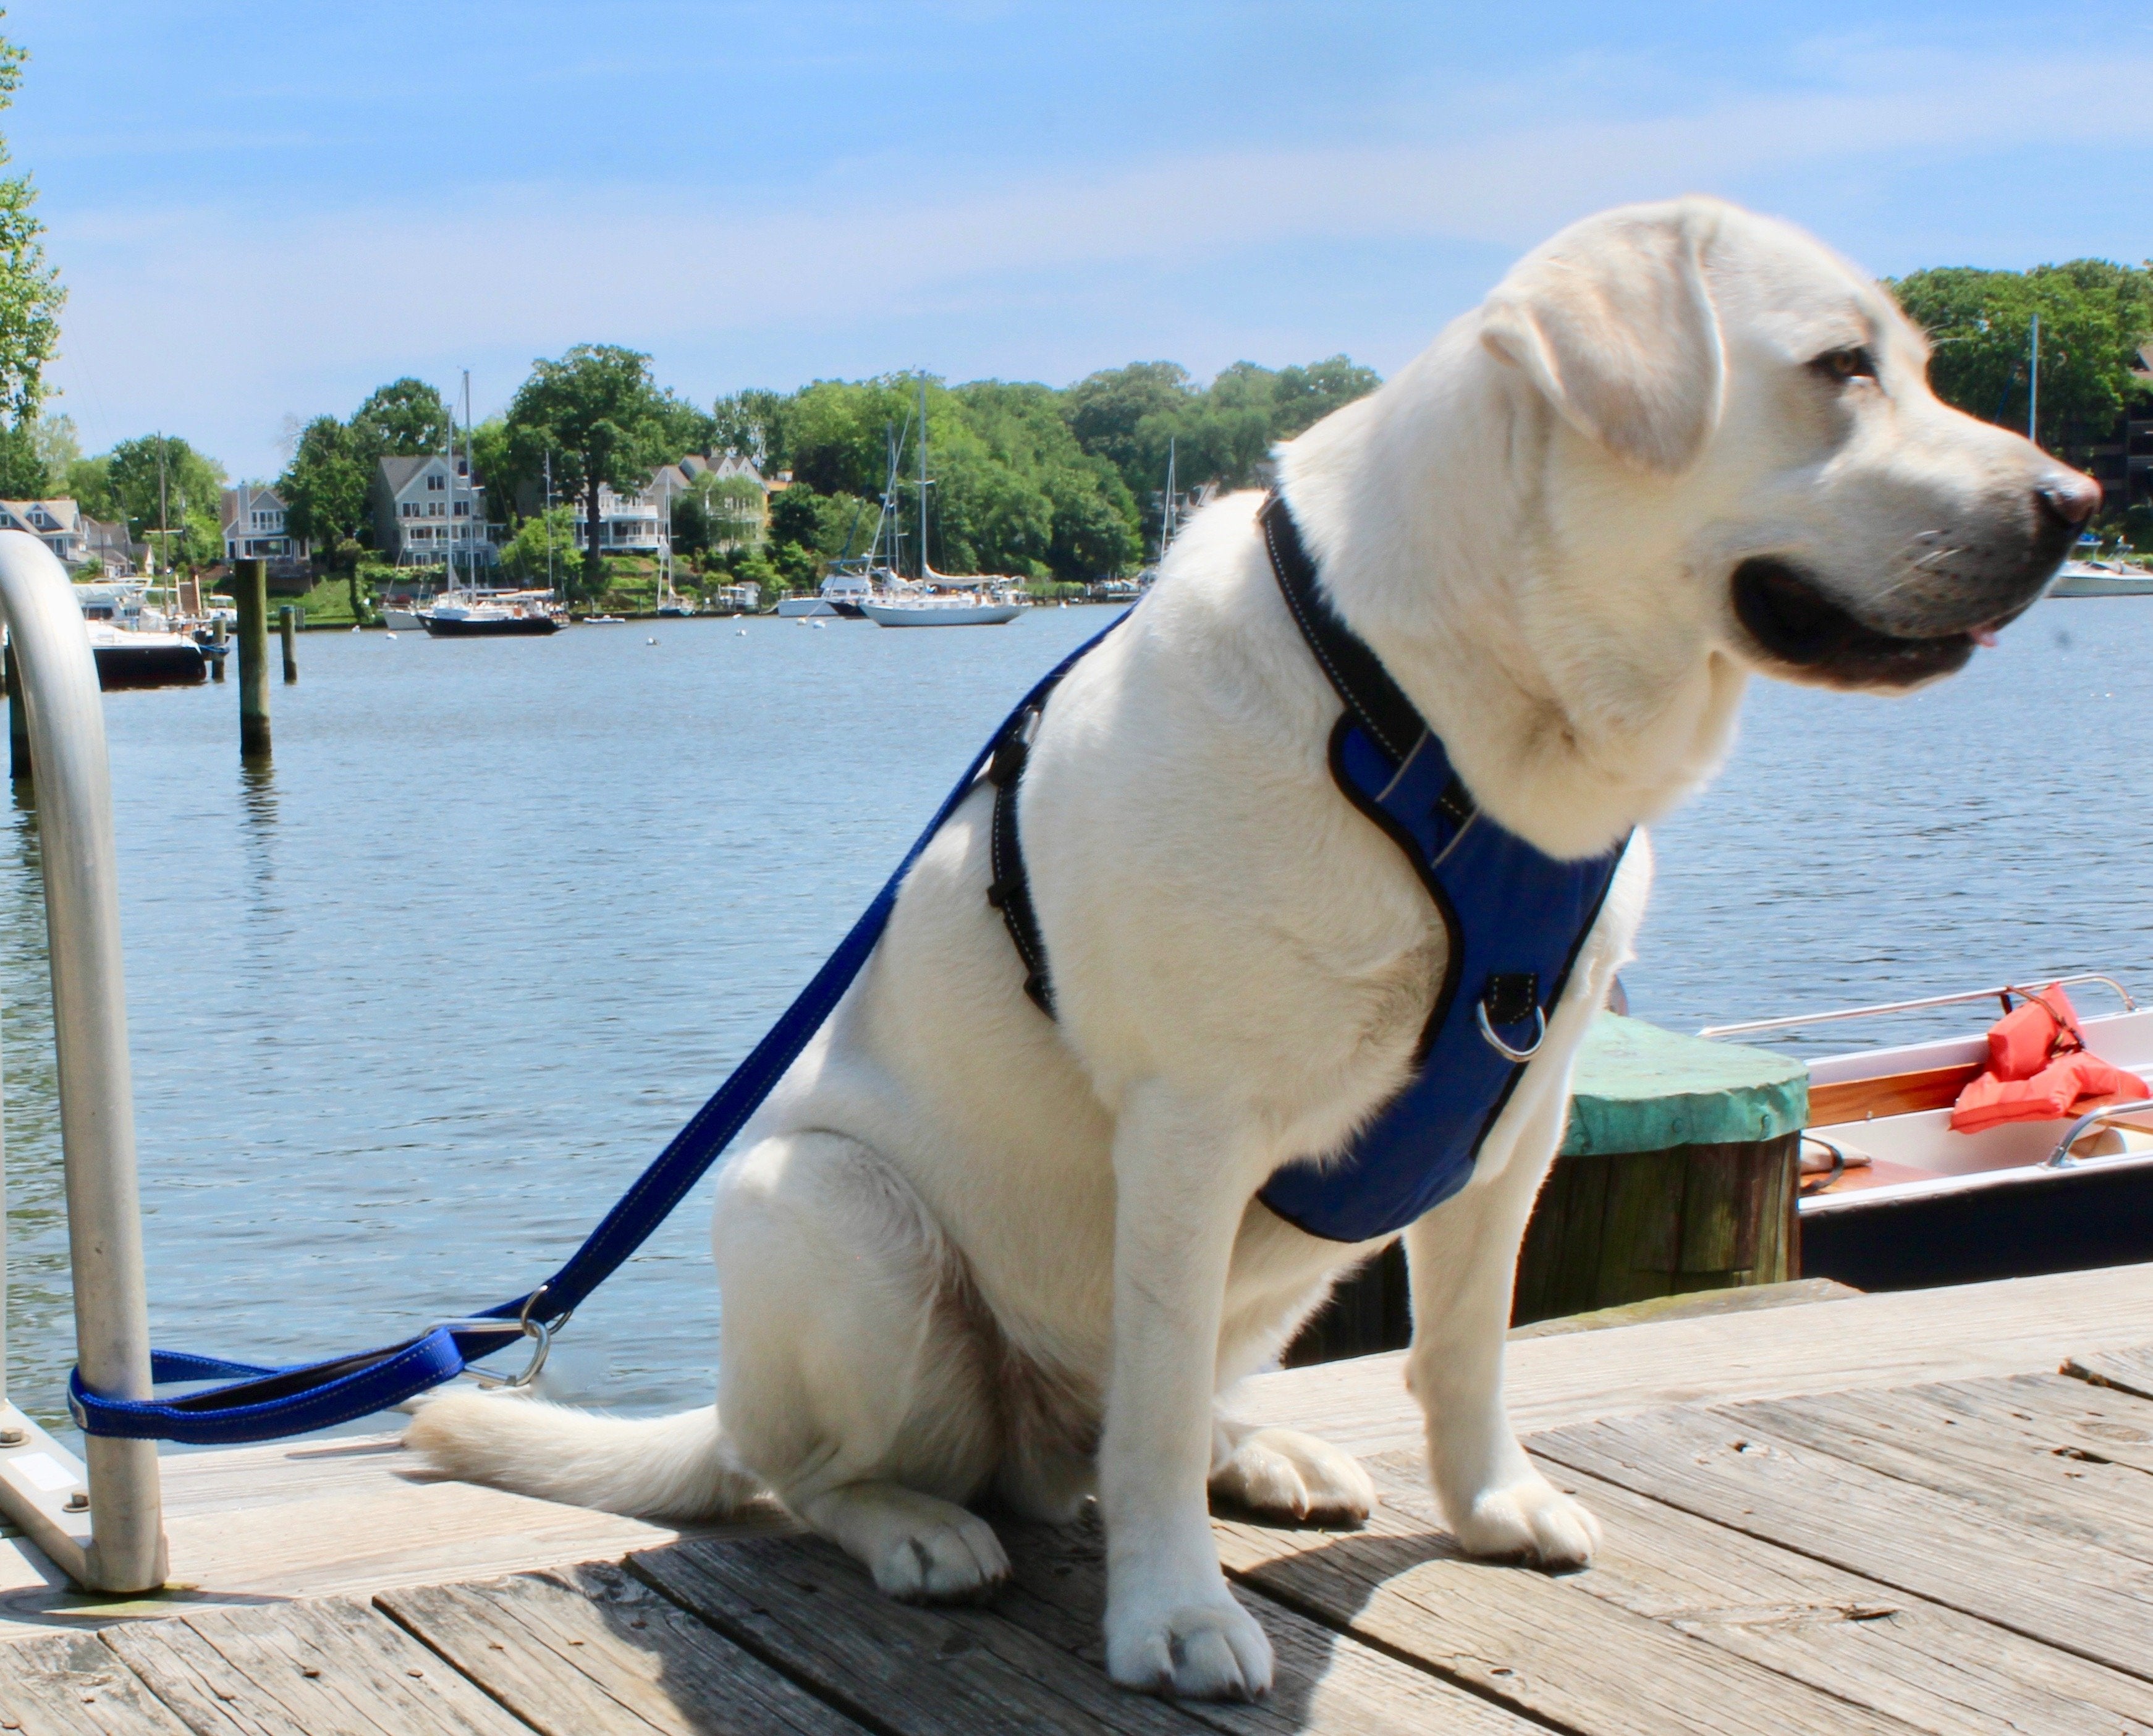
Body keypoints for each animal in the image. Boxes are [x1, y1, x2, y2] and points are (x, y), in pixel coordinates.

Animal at [411, 200, 2092, 1697]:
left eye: (1920, 365)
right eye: (1837, 367)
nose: (2075, 502)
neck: (1449, 724)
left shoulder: (1519, 1117)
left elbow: (1465, 1345)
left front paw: (1491, 1505)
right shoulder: (1190, 1126)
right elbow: (1152, 1411)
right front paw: (1172, 1618)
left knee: (1149, 1413)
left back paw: (1262, 1450)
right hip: (831, 1215)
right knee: (827, 1470)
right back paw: (917, 1528)